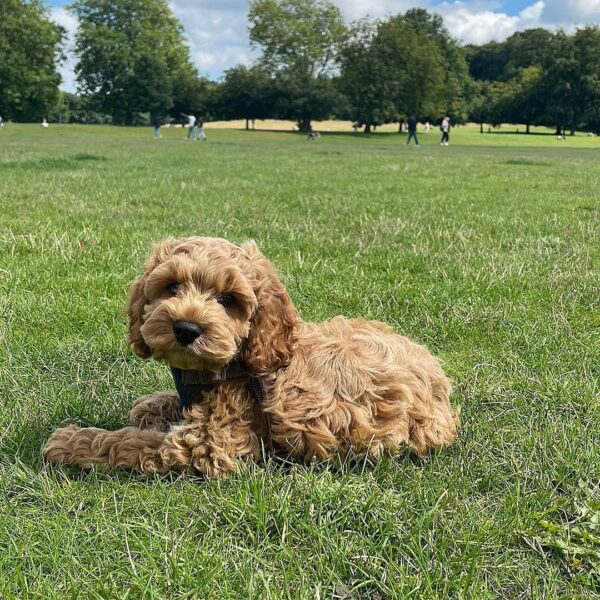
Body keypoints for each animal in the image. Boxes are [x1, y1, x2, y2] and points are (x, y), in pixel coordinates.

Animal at [44, 237, 460, 476]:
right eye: (171, 286)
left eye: (229, 300)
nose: (186, 329)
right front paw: (151, 404)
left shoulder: (209, 441)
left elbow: (129, 442)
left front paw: (72, 439)